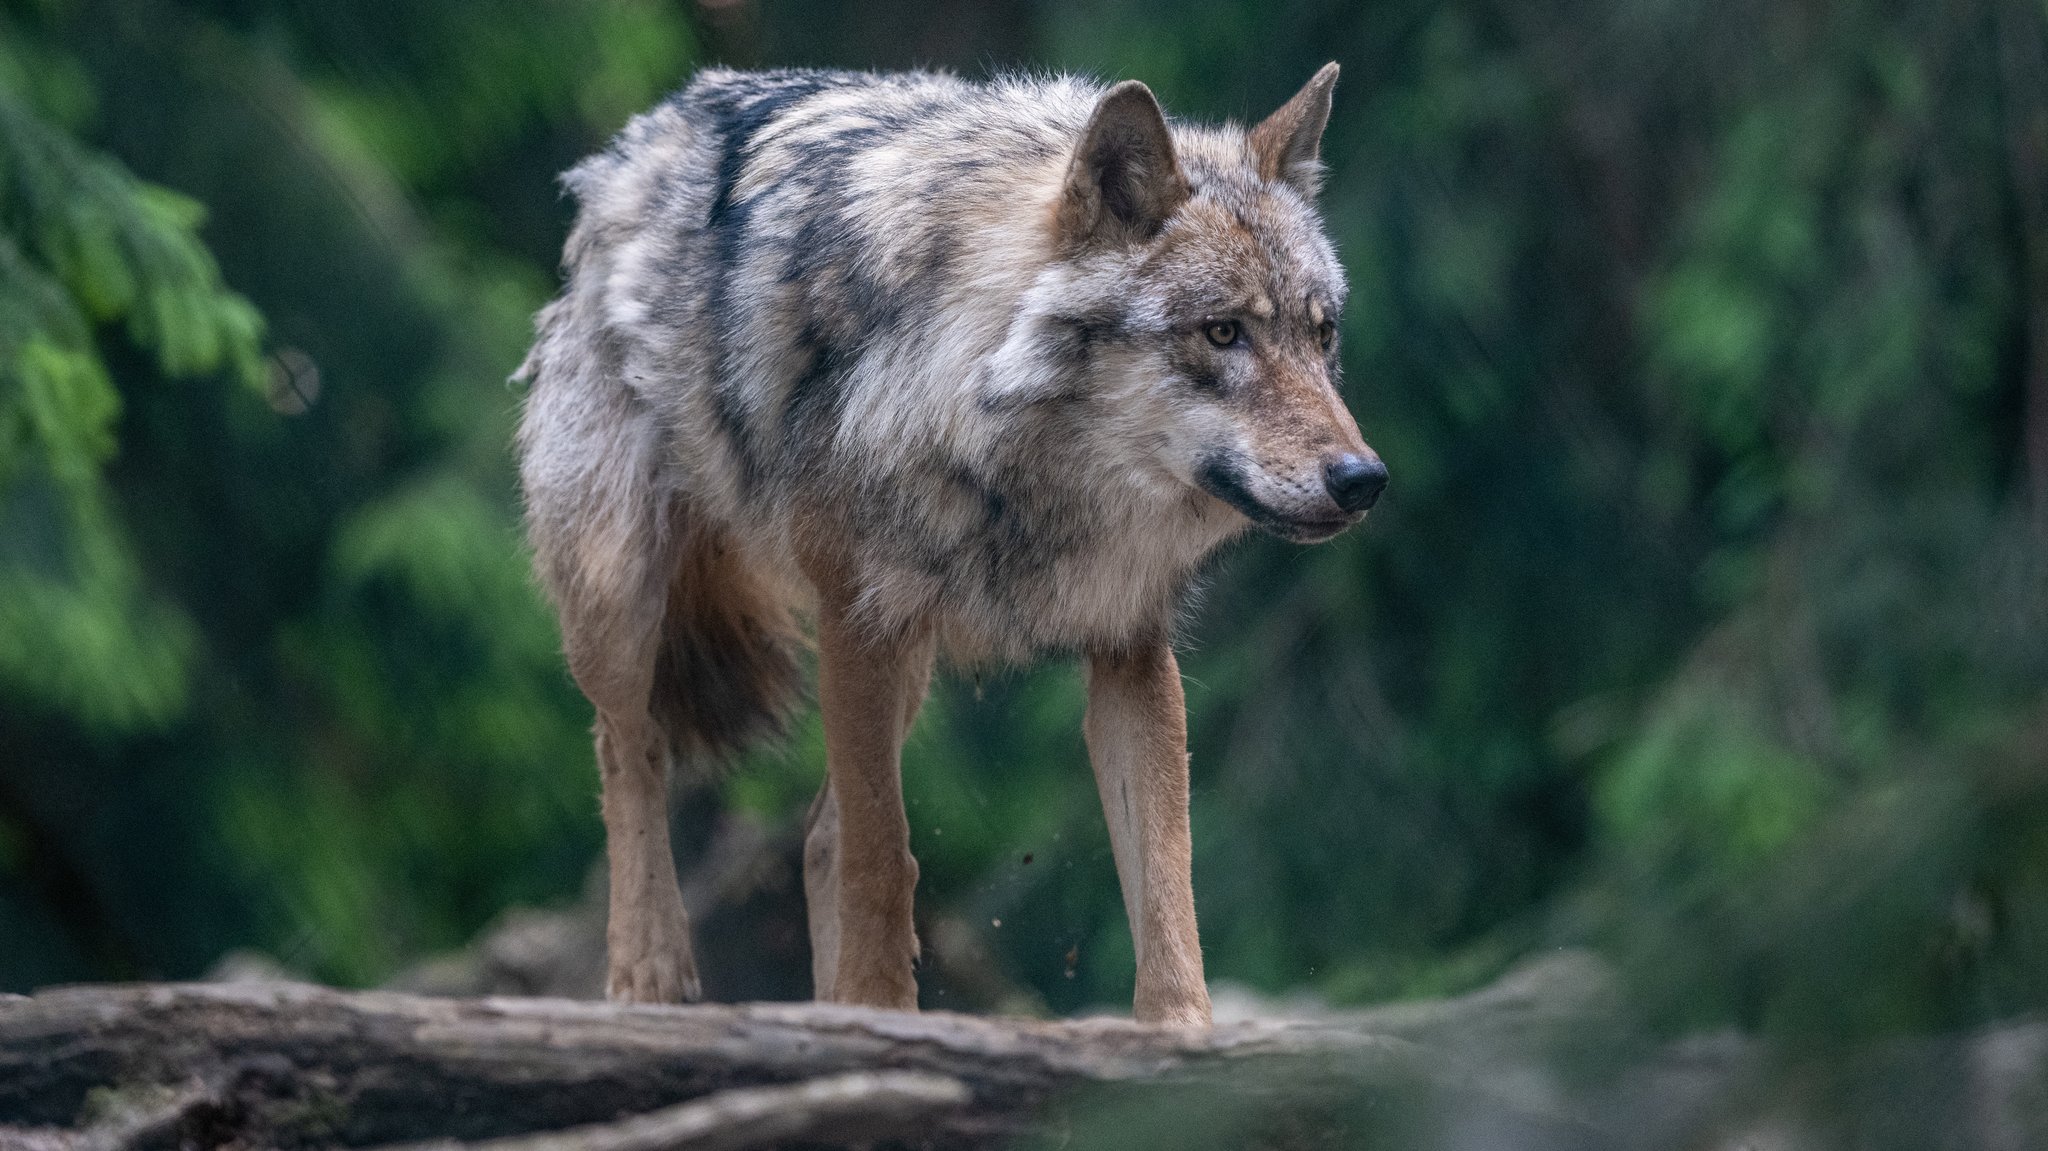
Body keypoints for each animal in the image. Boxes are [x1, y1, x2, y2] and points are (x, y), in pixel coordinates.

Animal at [512, 62, 1384, 1019]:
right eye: (1223, 331)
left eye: (1321, 334)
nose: (1362, 479)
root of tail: (640, 137)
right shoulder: (857, 620)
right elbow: (882, 860)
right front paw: (880, 1010)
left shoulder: (1129, 646)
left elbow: (1166, 885)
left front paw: (1182, 1032)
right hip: (627, 594)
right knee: (630, 753)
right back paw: (649, 973)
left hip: (904, 665)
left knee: (817, 832)